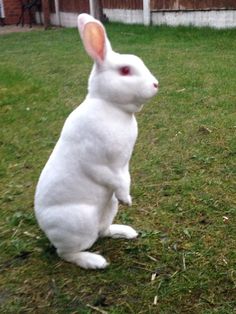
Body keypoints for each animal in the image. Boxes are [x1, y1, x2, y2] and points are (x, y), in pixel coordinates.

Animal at [34, 13, 159, 268]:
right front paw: (127, 199)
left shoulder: (123, 167)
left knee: (103, 232)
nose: (156, 85)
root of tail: (47, 229)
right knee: (67, 253)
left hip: (108, 208)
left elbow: (124, 178)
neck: (110, 106)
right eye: (125, 70)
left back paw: (126, 232)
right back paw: (95, 262)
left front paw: (128, 199)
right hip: (79, 223)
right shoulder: (99, 163)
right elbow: (112, 178)